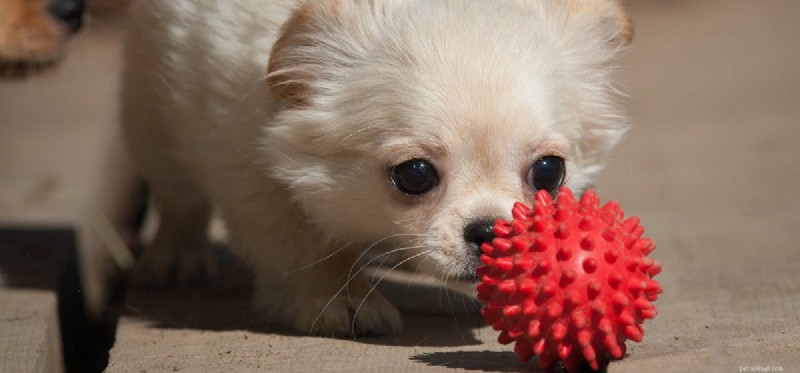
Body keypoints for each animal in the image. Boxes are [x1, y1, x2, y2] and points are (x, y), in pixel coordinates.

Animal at [122, 0, 636, 336]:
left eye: (549, 172)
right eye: (415, 175)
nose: (490, 231)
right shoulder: (244, 160)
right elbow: (300, 241)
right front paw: (343, 300)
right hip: (153, 114)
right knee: (180, 196)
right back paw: (177, 254)